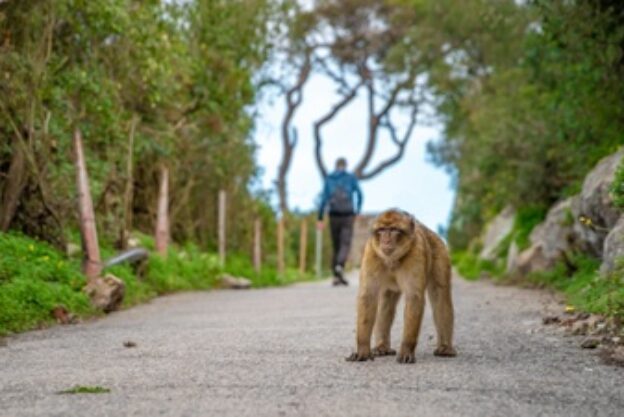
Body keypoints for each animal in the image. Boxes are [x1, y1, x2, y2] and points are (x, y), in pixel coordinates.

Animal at [344, 210, 456, 362]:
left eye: (393, 230)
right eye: (382, 230)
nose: (385, 240)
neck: (392, 260)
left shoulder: (416, 253)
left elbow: (414, 297)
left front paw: (407, 349)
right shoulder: (371, 252)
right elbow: (368, 296)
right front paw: (362, 349)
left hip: (440, 253)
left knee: (441, 296)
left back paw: (445, 347)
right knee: (387, 301)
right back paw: (382, 346)